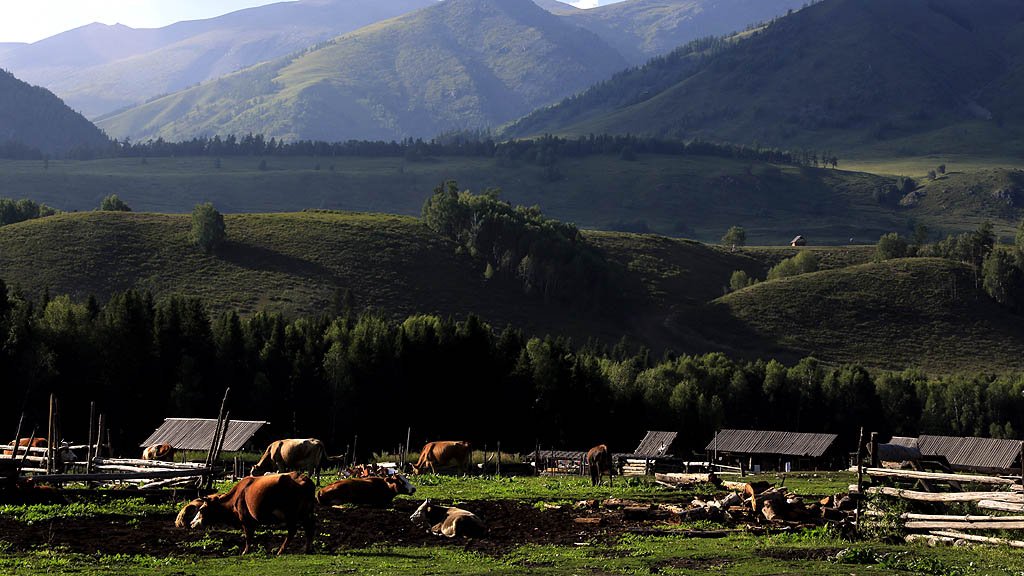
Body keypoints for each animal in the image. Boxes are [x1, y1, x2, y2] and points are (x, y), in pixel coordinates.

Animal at [176, 469, 313, 553]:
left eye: (202, 509)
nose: (191, 523)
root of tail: (303, 478)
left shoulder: (245, 520)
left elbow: (248, 536)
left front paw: (245, 551)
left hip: (291, 514)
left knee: (293, 531)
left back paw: (281, 551)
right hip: (306, 513)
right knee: (309, 529)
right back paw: (306, 549)